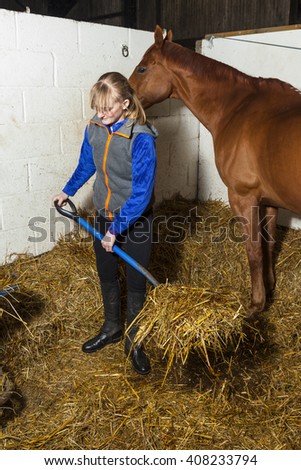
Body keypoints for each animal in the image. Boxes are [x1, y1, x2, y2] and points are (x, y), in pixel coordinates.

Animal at [129, 24, 301, 316]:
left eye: (142, 68)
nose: (125, 102)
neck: (237, 109)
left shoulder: (243, 197)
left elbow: (254, 250)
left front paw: (256, 305)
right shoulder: (269, 201)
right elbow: (268, 244)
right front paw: (269, 289)